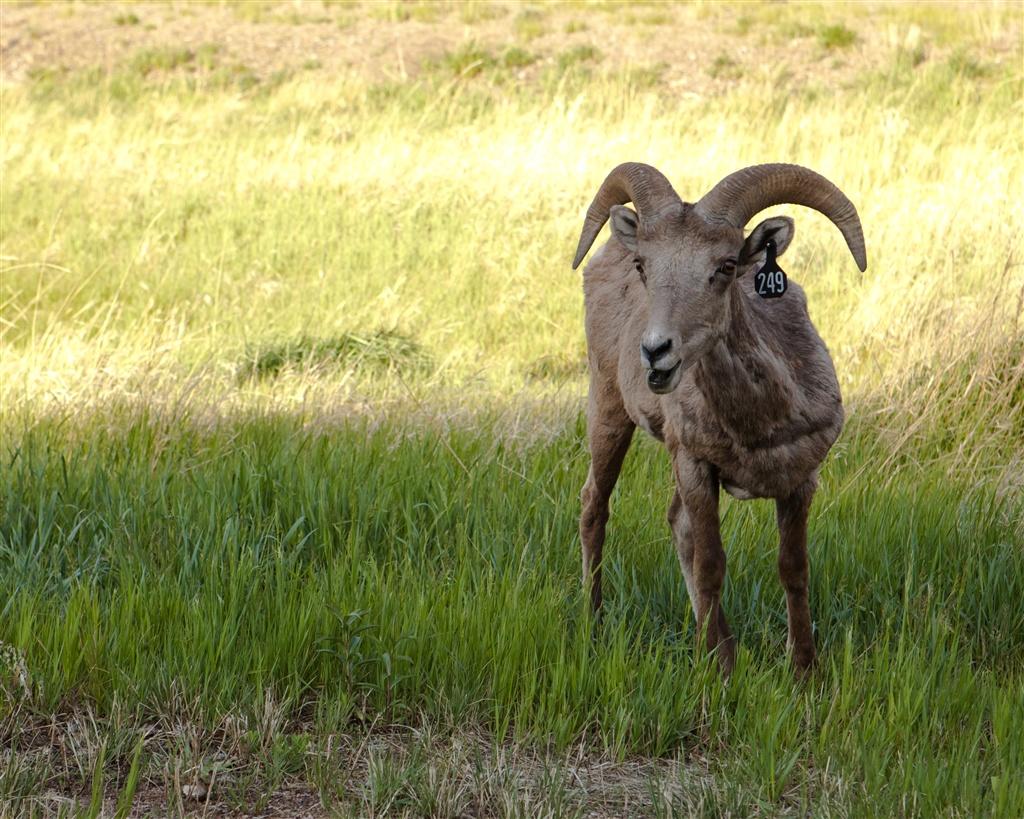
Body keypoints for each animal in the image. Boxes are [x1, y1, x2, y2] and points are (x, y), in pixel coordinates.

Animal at [573, 161, 868, 671]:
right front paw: (721, 671)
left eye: (727, 267)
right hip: (608, 410)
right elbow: (711, 564)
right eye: (643, 265)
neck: (759, 426)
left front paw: (804, 671)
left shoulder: (801, 481)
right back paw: (595, 624)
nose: (656, 352)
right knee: (595, 507)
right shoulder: (695, 466)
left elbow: (793, 569)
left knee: (676, 525)